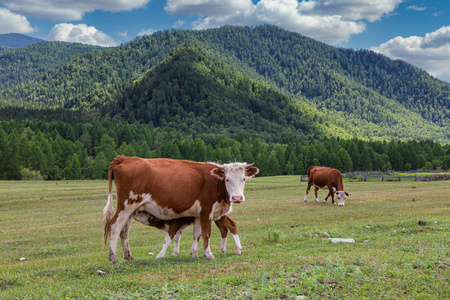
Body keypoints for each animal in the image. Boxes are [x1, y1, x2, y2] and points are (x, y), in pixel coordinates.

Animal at [101, 156, 256, 264]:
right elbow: (206, 233)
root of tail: (124, 158)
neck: (215, 182)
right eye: (227, 179)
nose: (237, 197)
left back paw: (128, 256)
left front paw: (195, 254)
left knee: (124, 230)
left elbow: (197, 234)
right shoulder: (206, 210)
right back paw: (114, 258)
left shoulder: (198, 214)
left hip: (129, 209)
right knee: (114, 226)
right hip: (126, 205)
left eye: (243, 179)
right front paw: (208, 254)